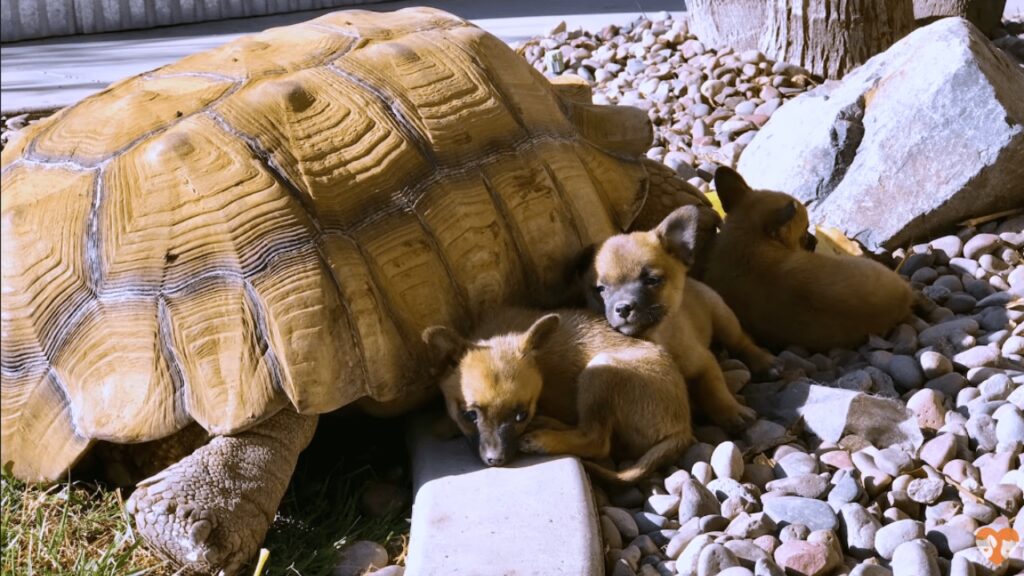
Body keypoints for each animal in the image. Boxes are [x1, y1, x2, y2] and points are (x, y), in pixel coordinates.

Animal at [419, 307, 692, 481]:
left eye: (521, 415)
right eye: (469, 416)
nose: (496, 460)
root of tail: (684, 429)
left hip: (600, 369)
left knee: (596, 440)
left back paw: (543, 438)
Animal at [589, 203, 770, 428]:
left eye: (652, 280)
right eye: (601, 289)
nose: (622, 308)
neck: (657, 336)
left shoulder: (704, 364)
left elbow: (715, 391)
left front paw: (732, 411)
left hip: (723, 318)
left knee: (741, 342)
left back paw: (765, 362)